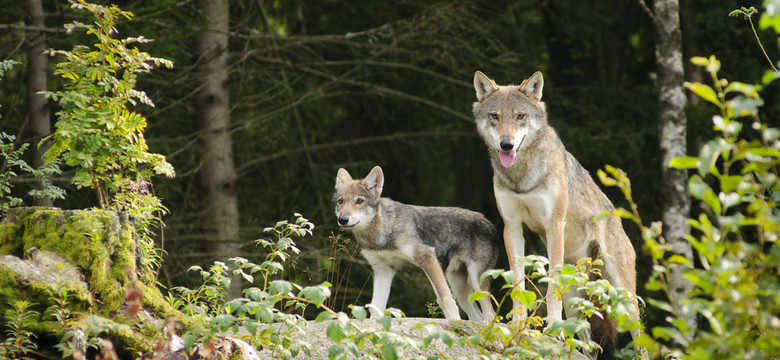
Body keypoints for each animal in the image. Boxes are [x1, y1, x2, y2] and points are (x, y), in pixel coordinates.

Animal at [332, 166, 496, 320]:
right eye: (341, 201)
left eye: (359, 201)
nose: (343, 219)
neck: (381, 235)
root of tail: (489, 222)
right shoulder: (383, 269)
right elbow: (376, 306)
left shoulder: (427, 256)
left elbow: (445, 299)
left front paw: (453, 323)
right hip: (459, 287)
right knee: (477, 317)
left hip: (476, 281)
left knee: (490, 314)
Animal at [472, 71, 644, 360]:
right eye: (495, 116)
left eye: (520, 116)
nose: (506, 144)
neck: (522, 175)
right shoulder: (512, 227)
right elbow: (518, 285)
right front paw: (517, 325)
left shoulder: (554, 225)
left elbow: (551, 286)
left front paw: (553, 327)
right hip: (577, 297)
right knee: (586, 338)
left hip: (623, 297)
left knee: (640, 338)